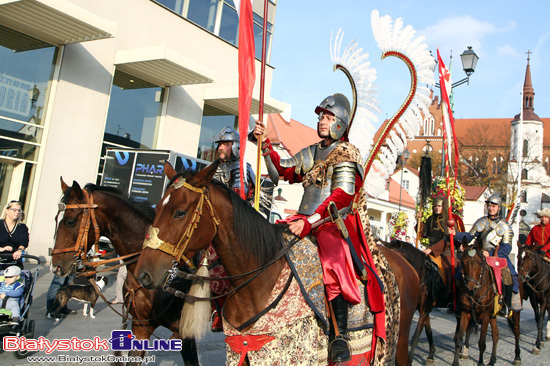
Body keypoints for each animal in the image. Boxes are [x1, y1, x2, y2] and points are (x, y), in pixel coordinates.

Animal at [134, 161, 418, 366]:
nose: (143, 274)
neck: (258, 281)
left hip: (397, 340)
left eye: (180, 212)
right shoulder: (242, 352)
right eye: (158, 207)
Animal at [454, 237, 524, 366]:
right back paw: (492, 360)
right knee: (496, 334)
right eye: (462, 263)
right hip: (494, 315)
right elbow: (459, 339)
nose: (471, 289)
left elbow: (482, 342)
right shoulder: (465, 313)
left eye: (480, 263)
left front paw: (481, 363)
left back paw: (517, 357)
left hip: (515, 311)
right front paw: (455, 362)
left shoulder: (486, 315)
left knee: (516, 331)